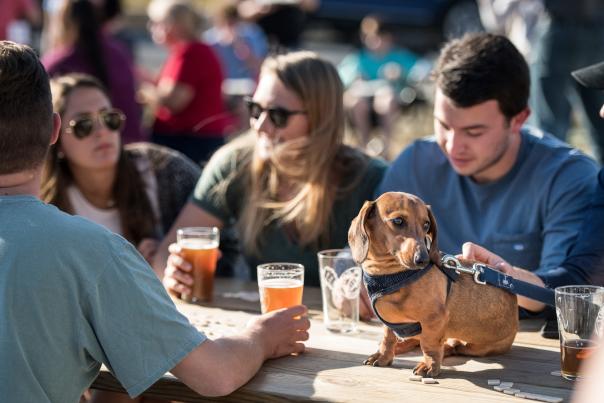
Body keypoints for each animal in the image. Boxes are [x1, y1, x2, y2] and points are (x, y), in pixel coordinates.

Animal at [350, 193, 520, 378]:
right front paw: (383, 356)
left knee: (452, 346)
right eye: (398, 221)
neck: (390, 273)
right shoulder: (389, 322)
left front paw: (429, 365)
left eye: (426, 224)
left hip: (475, 346)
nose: (423, 259)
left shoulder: (434, 319)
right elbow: (388, 338)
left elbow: (429, 344)